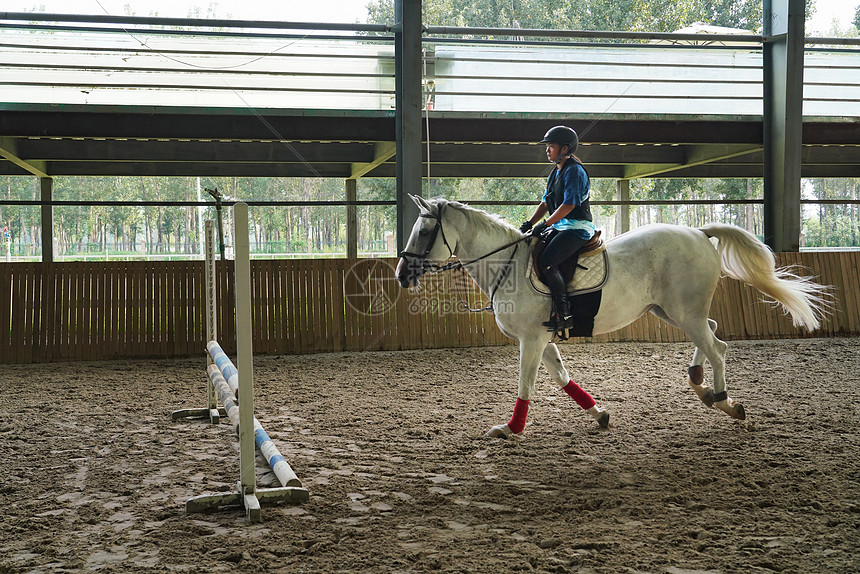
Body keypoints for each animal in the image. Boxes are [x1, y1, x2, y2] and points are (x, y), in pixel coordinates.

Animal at [396, 196, 832, 438]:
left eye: (424, 233)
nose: (402, 274)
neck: (508, 264)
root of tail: (698, 233)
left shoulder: (531, 340)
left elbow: (527, 384)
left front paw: (511, 429)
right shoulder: (544, 338)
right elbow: (563, 379)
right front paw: (600, 414)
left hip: (683, 312)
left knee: (717, 347)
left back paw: (722, 398)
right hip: (673, 311)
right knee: (711, 335)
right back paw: (702, 385)